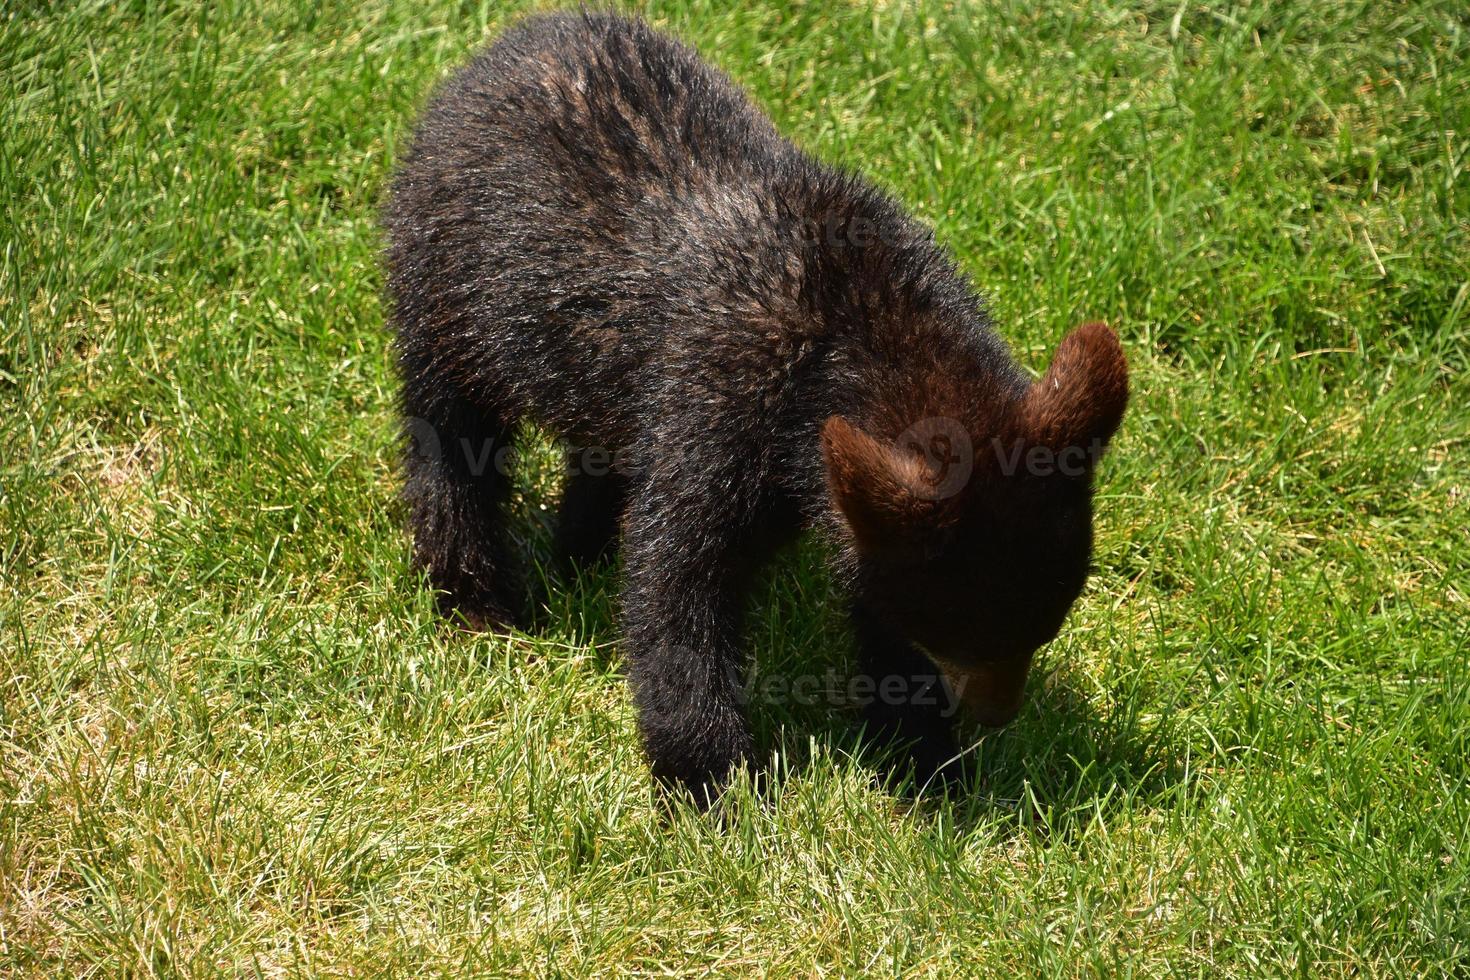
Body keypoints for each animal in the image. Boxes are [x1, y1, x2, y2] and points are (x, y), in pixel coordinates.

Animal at [382, 11, 1123, 799]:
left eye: (1045, 626)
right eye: (963, 631)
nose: (997, 716)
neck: (854, 336)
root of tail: (508, 43)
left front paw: (922, 758)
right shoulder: (717, 409)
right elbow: (676, 591)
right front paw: (710, 783)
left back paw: (578, 552)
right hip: (438, 295)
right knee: (450, 444)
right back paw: (475, 599)